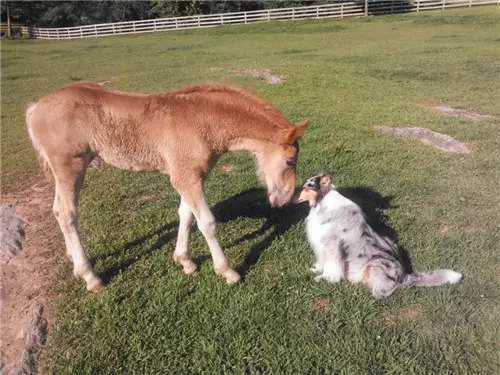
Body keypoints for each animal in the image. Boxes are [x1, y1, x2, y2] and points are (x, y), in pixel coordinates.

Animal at [28, 83, 308, 294]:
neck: (204, 120)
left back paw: (74, 262)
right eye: (290, 161)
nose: (286, 198)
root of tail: (34, 108)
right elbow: (207, 222)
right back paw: (90, 277)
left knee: (58, 211)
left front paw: (185, 261)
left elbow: (185, 215)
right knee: (67, 214)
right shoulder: (186, 178)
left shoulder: (189, 176)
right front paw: (227, 271)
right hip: (70, 167)